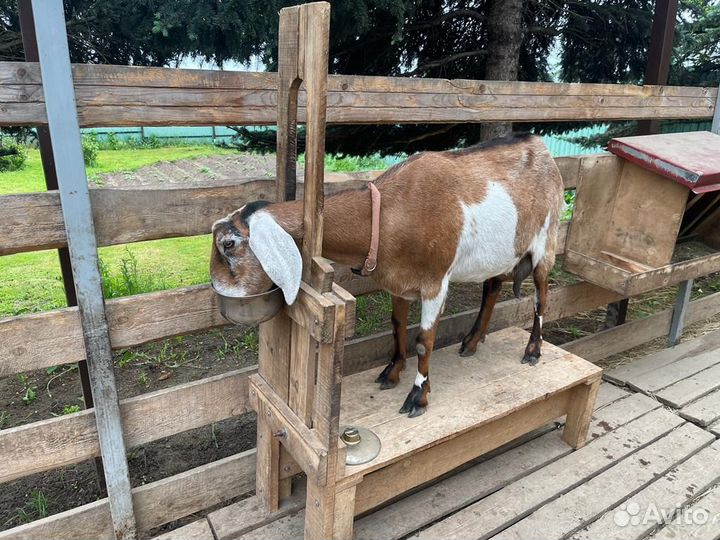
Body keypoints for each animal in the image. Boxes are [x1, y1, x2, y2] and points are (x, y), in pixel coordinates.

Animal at [210, 134, 564, 418]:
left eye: (228, 244)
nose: (216, 289)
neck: (391, 214)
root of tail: (542, 147)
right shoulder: (398, 281)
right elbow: (396, 326)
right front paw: (391, 373)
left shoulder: (435, 282)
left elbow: (424, 341)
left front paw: (418, 396)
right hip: (502, 250)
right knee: (492, 286)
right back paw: (472, 342)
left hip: (546, 239)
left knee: (541, 297)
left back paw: (533, 351)